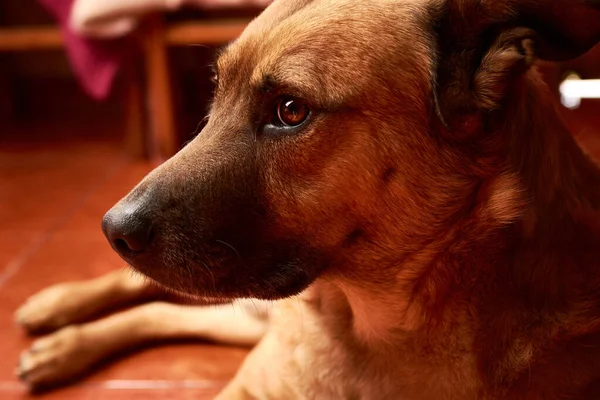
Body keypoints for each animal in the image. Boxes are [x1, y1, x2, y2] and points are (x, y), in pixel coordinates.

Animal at [12, 0, 600, 398]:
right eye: (216, 93)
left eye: (290, 110)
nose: (113, 230)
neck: (364, 329)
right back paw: (56, 311)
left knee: (169, 310)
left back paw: (63, 345)